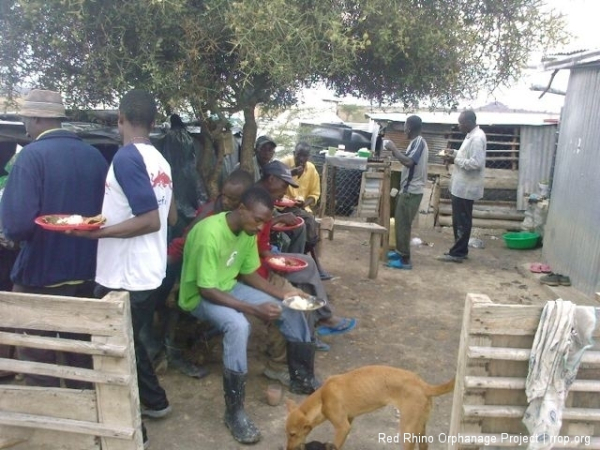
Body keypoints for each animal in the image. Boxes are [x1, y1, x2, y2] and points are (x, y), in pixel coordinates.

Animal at [284, 366, 452, 450]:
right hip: (420, 425)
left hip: (407, 430)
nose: (287, 449)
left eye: (293, 434)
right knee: (424, 445)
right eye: (286, 433)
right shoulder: (349, 420)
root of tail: (424, 385)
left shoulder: (342, 427)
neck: (322, 398)